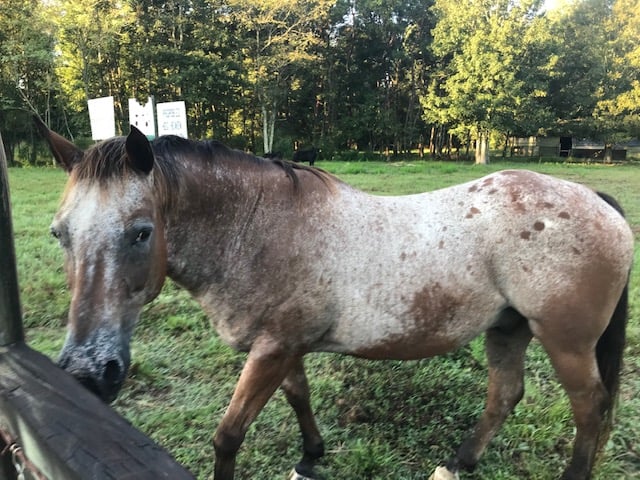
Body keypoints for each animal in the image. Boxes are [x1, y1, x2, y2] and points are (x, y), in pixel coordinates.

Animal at [37, 117, 632, 480]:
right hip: (507, 328)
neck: (259, 230)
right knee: (505, 395)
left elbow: (229, 435)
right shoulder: (283, 347)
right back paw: (456, 464)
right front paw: (309, 458)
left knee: (590, 408)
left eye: (140, 232)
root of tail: (597, 200)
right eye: (58, 233)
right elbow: (299, 398)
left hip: (566, 342)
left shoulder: (273, 349)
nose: (89, 372)